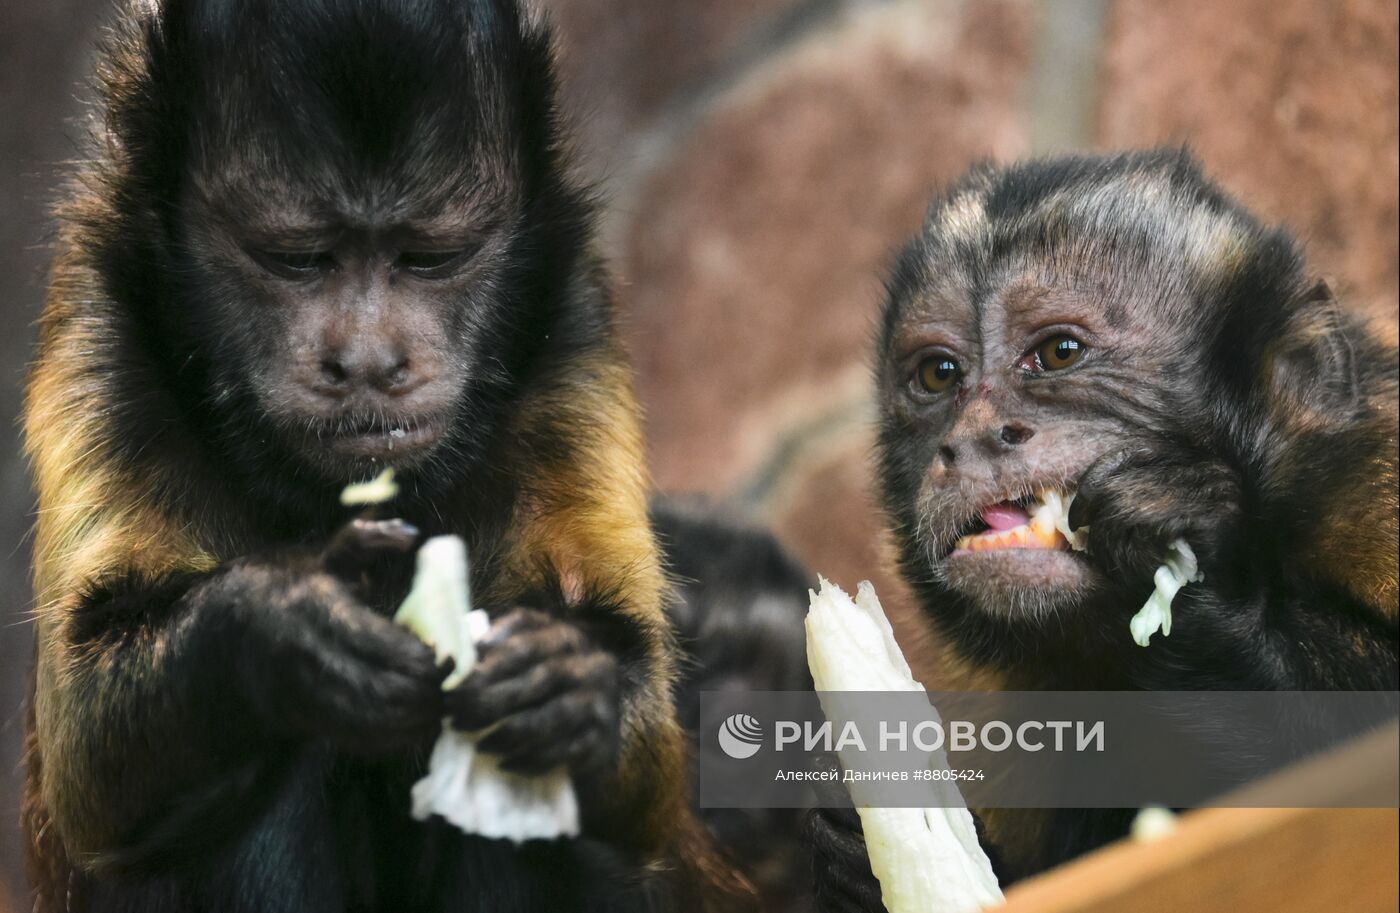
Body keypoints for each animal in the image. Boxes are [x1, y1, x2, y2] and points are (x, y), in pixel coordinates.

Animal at [19, 1, 756, 913]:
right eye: (297, 260)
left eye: (429, 258)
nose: (368, 361)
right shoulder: (102, 327)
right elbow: (90, 757)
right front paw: (280, 627)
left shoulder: (574, 321)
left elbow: (645, 773)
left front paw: (569, 685)